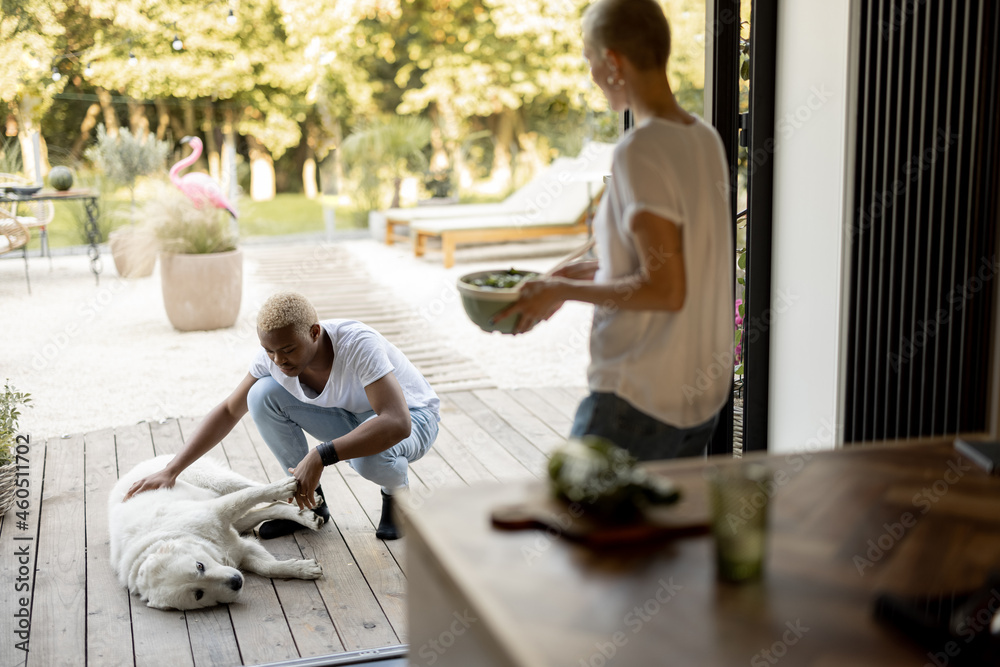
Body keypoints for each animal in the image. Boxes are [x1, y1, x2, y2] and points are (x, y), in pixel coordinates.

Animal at [108, 456, 324, 608]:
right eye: (198, 594)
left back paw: (303, 495)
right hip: (238, 520)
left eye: (200, 566)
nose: (236, 582)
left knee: (254, 488)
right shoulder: (241, 550)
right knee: (269, 509)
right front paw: (303, 569)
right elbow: (268, 567)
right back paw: (306, 516)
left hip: (217, 482)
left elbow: (250, 495)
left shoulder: (217, 509)